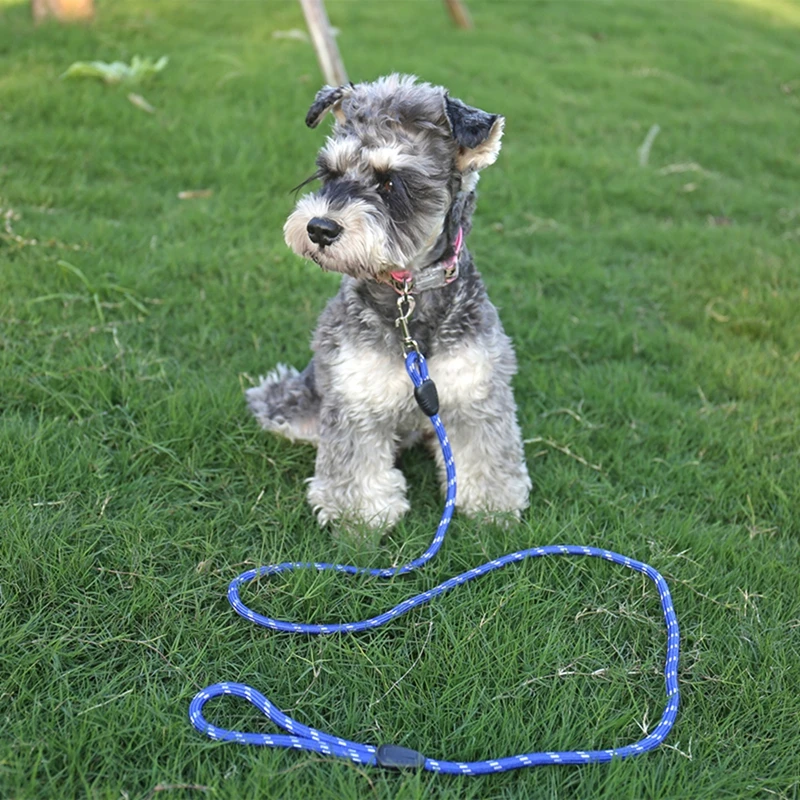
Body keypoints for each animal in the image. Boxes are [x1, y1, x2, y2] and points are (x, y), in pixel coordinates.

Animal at [245, 73, 532, 532]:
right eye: (328, 172)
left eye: (390, 182)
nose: (319, 228)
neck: (407, 296)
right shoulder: (354, 391)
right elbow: (354, 457)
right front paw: (361, 513)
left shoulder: (476, 388)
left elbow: (486, 447)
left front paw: (493, 503)